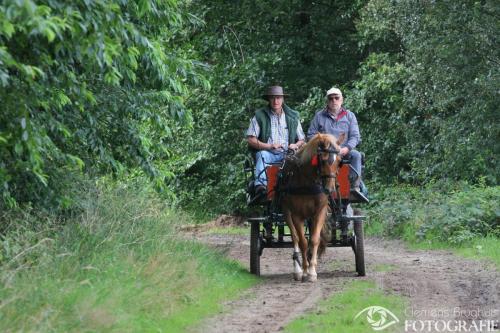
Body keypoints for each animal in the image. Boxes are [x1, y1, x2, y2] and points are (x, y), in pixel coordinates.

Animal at [280, 132, 346, 280]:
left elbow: (315, 239)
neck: (307, 182)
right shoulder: (297, 215)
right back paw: (298, 270)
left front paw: (312, 271)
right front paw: (305, 270)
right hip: (286, 211)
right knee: (294, 237)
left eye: (339, 161)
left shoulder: (320, 211)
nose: (330, 189)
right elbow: (303, 241)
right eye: (323, 160)